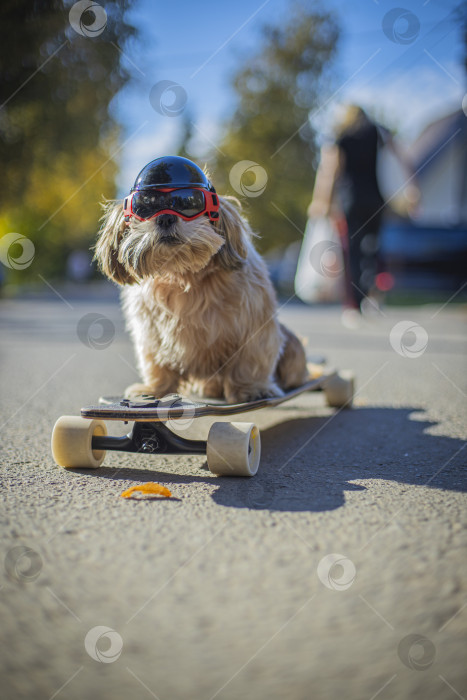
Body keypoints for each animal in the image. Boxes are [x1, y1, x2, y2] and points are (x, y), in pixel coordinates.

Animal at [93, 155, 308, 402]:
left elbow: (250, 358)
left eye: (188, 202)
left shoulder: (255, 325)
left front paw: (251, 388)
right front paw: (155, 390)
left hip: (293, 349)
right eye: (146, 205)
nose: (165, 217)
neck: (182, 274)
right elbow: (157, 362)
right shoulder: (150, 333)